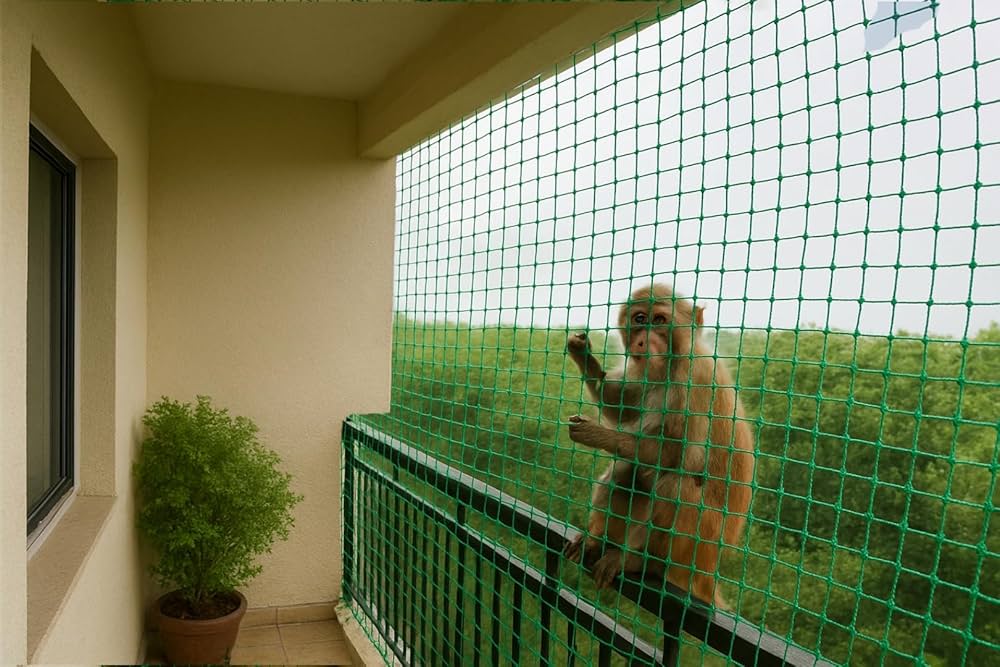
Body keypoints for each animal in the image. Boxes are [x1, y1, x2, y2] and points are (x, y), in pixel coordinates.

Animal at [562, 282, 755, 610]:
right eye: (640, 319)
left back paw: (639, 562)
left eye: (660, 320)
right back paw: (596, 540)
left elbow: (676, 456)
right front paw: (586, 358)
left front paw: (599, 435)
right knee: (626, 471)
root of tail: (707, 573)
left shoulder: (694, 379)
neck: (671, 363)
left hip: (700, 544)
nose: (643, 341)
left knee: (676, 485)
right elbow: (624, 407)